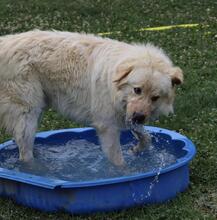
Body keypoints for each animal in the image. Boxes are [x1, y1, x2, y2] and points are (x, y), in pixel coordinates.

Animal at [0, 30, 183, 165]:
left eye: (155, 97)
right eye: (137, 90)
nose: (139, 117)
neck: (113, 84)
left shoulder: (128, 115)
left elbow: (147, 137)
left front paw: (136, 150)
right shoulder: (107, 126)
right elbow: (118, 162)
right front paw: (125, 175)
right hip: (27, 112)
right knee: (25, 153)